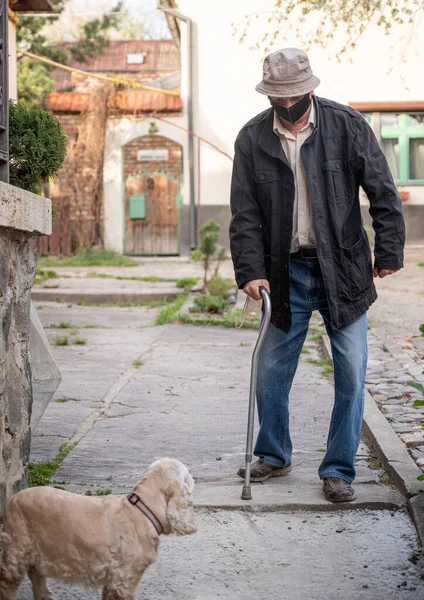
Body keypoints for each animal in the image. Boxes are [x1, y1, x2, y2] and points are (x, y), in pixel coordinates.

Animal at [0, 458, 198, 596]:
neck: (142, 510)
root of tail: (10, 501)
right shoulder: (124, 579)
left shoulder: (114, 580)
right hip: (17, 551)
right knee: (7, 583)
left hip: (38, 554)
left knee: (39, 583)